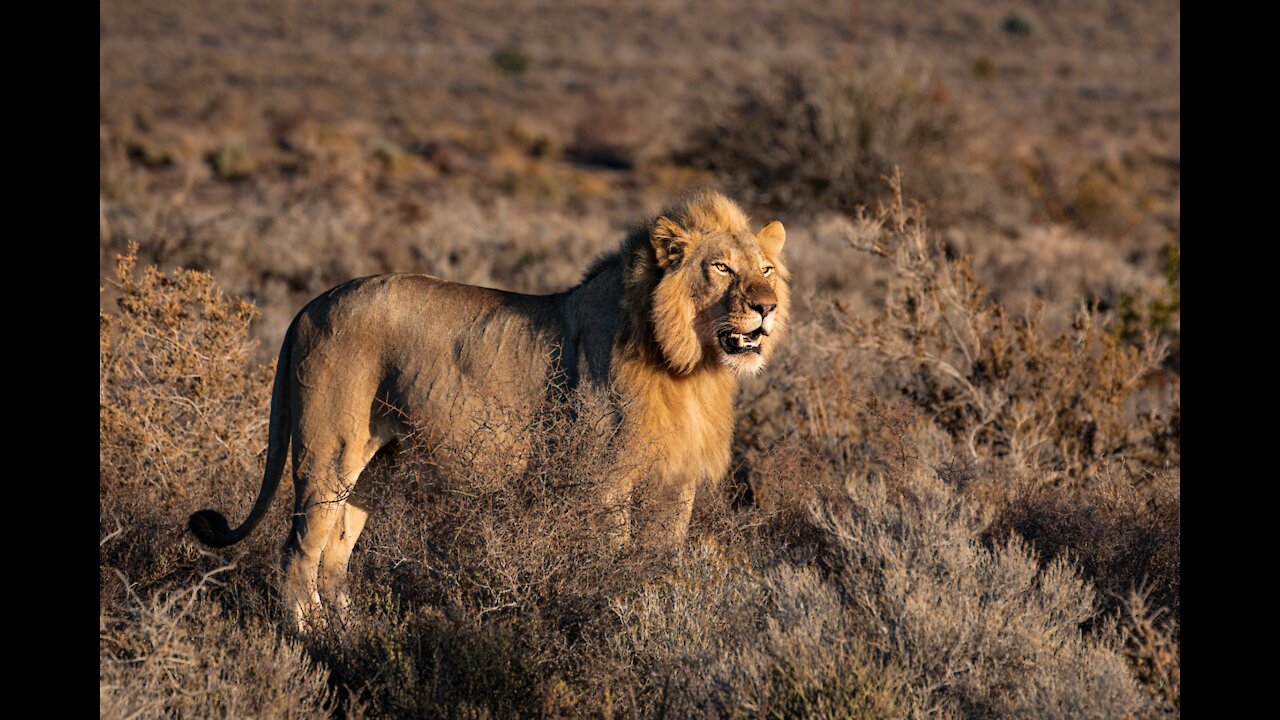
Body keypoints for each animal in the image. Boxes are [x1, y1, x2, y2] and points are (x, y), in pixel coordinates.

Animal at [189, 188, 788, 625]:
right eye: (722, 269)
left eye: (765, 269)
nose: (767, 307)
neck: (689, 366)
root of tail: (308, 306)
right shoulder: (605, 480)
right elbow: (613, 559)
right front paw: (613, 614)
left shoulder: (675, 482)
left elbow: (660, 561)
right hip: (327, 453)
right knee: (298, 551)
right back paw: (309, 640)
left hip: (375, 466)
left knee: (336, 554)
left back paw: (350, 634)